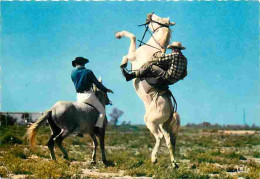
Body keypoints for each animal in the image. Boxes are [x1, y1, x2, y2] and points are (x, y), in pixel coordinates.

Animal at [116, 12, 181, 168]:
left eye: (158, 20)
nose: (149, 15)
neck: (151, 48)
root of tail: (171, 111)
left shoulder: (133, 54)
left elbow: (132, 38)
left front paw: (123, 63)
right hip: (162, 125)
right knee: (168, 140)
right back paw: (174, 164)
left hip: (151, 122)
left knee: (159, 137)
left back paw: (154, 158)